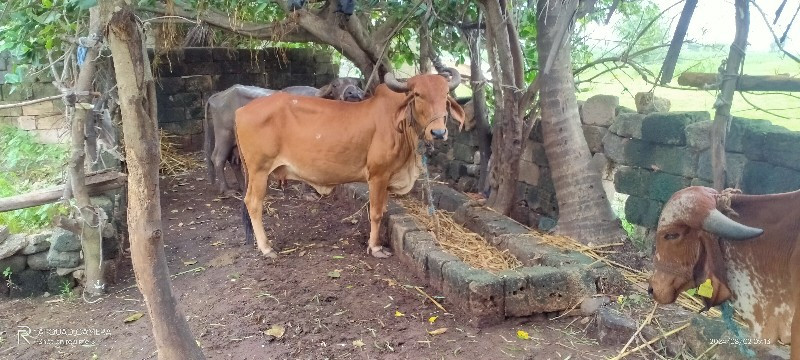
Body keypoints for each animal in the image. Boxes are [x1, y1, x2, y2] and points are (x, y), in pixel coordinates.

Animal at [203, 77, 366, 195]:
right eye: (335, 85)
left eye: (356, 83)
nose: (353, 94)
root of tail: (218, 95)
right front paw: (306, 193)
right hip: (224, 134)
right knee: (217, 158)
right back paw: (226, 190)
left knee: (234, 161)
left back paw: (243, 186)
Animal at [234, 68, 466, 258]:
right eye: (417, 95)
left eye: (446, 95)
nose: (438, 132)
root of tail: (241, 111)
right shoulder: (378, 175)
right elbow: (376, 213)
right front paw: (375, 247)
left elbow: (383, 210)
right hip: (259, 171)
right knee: (253, 203)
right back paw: (266, 248)